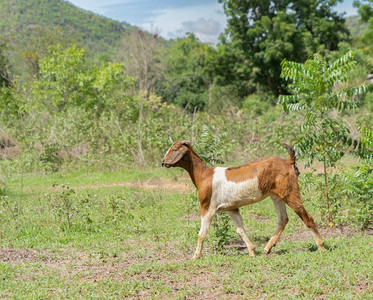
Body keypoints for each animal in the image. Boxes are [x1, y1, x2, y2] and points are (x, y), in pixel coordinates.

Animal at [161, 141, 324, 260]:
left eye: (174, 149)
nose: (163, 162)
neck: (204, 175)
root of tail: (288, 161)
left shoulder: (207, 207)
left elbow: (202, 233)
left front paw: (195, 256)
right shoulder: (231, 208)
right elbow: (240, 230)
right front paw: (252, 251)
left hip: (290, 192)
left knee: (307, 217)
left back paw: (321, 246)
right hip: (277, 196)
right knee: (283, 219)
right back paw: (267, 248)